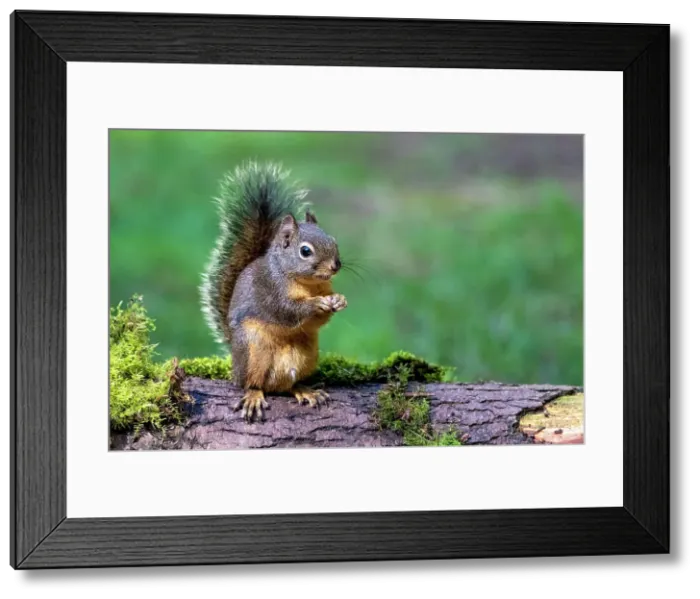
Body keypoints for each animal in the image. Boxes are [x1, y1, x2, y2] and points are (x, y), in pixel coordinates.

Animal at [199, 161, 347, 422]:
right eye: (305, 251)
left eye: (333, 241)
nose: (335, 266)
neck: (308, 284)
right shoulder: (271, 290)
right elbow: (287, 311)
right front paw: (316, 304)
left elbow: (317, 322)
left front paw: (338, 300)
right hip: (252, 351)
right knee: (252, 383)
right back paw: (253, 396)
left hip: (307, 356)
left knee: (288, 385)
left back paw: (305, 390)